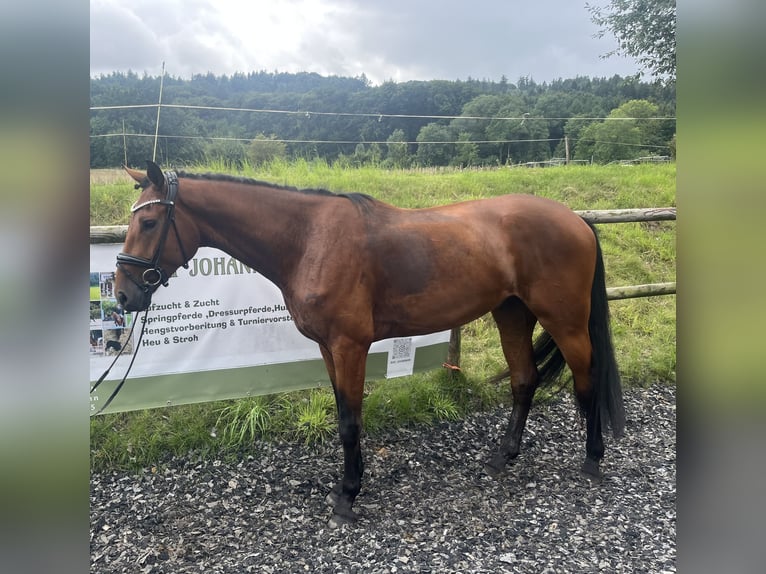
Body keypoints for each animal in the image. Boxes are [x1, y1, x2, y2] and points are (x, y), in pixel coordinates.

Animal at [114, 160, 625, 527]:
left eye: (151, 222)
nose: (122, 294)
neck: (308, 239)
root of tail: (578, 220)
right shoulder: (328, 348)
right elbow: (346, 413)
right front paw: (348, 486)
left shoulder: (349, 346)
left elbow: (349, 422)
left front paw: (347, 496)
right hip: (512, 312)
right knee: (524, 379)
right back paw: (504, 456)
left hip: (565, 321)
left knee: (588, 379)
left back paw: (593, 460)